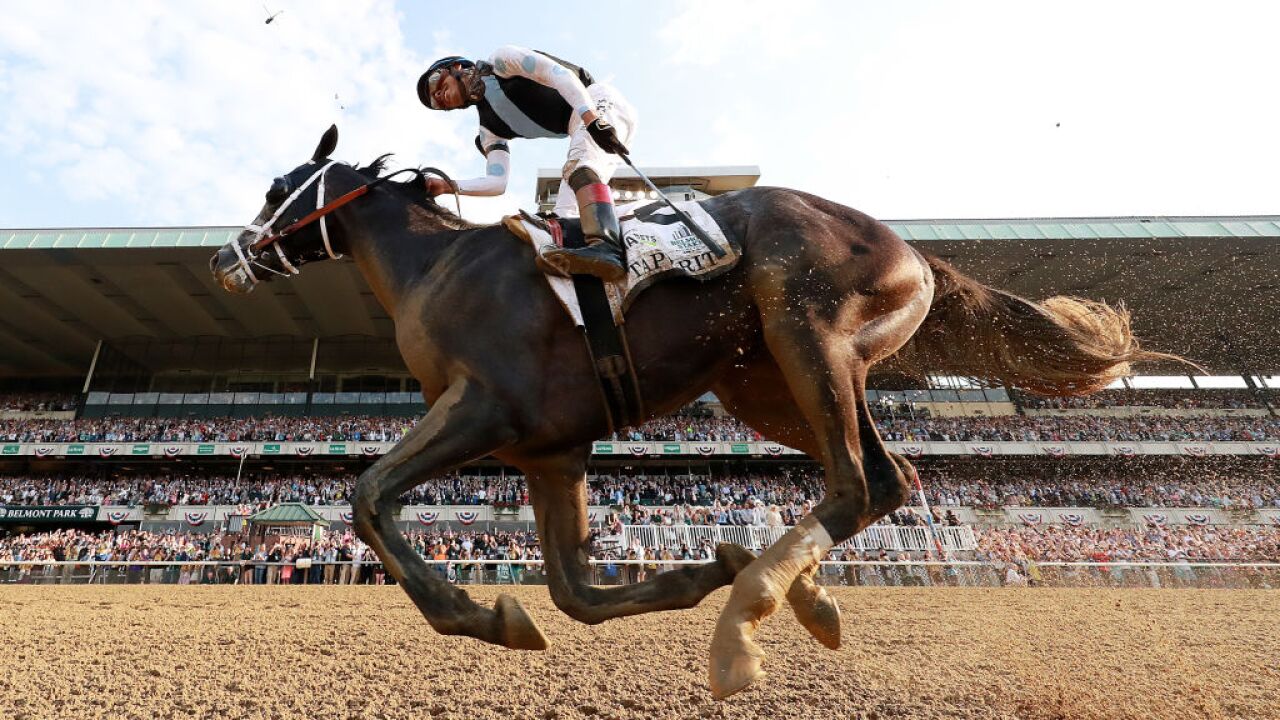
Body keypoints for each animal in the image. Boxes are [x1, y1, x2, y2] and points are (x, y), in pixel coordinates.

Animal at [210, 125, 1169, 698]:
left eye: (277, 185)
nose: (228, 258)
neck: (438, 269)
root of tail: (912, 250)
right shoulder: (552, 452)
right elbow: (574, 594)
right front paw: (683, 573)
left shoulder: (484, 408)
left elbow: (370, 495)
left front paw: (472, 612)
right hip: (764, 382)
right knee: (886, 477)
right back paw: (796, 593)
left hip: (806, 330)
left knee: (856, 483)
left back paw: (747, 621)